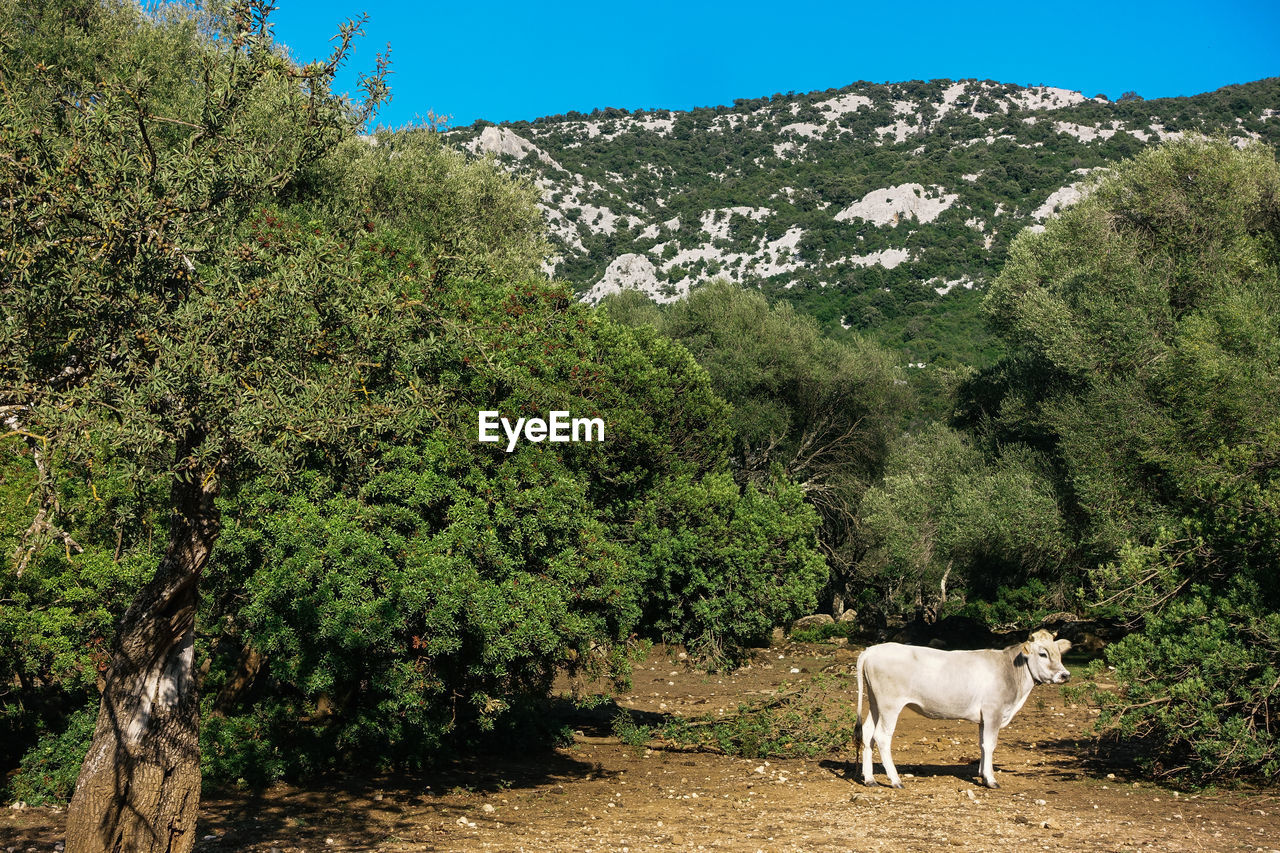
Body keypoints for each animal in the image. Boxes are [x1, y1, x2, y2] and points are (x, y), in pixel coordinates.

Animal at [860, 627, 1070, 788]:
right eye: (1043, 653)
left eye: (1059, 653)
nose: (1065, 675)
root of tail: (871, 650)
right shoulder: (993, 712)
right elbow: (990, 744)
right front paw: (991, 780)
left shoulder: (984, 717)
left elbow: (983, 744)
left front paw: (983, 774)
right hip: (890, 705)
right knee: (882, 736)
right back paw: (895, 780)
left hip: (875, 703)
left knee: (867, 732)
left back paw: (870, 779)